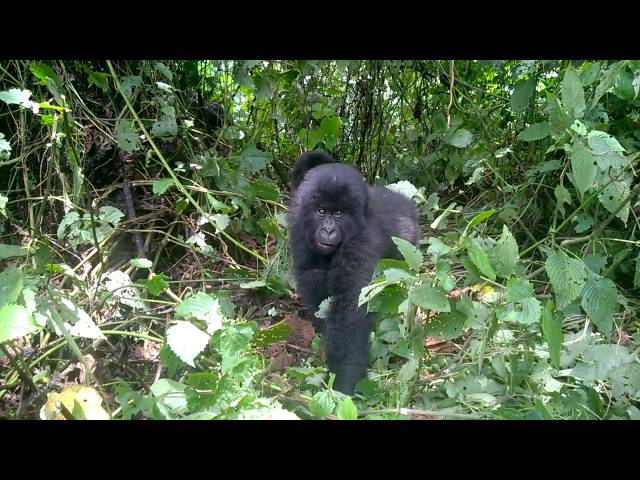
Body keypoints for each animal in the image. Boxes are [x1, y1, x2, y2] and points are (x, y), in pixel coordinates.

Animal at [288, 150, 420, 394]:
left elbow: (350, 307)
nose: (328, 230)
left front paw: (340, 381)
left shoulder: (361, 243)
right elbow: (315, 288)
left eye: (339, 213)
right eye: (322, 211)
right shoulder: (301, 233)